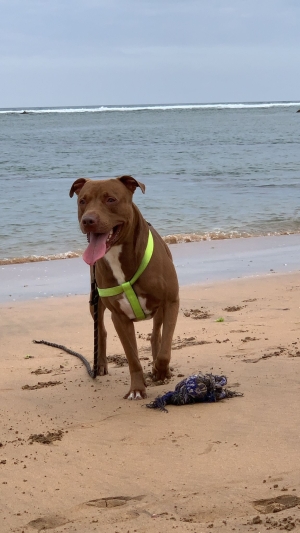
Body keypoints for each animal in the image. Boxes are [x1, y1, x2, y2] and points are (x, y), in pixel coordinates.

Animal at [69, 176, 178, 400]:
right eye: (82, 201)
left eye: (111, 199)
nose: (88, 220)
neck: (117, 254)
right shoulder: (119, 318)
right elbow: (132, 357)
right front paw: (137, 388)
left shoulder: (171, 301)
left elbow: (165, 349)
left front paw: (160, 371)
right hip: (95, 302)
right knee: (100, 331)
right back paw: (101, 365)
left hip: (160, 310)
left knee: (157, 334)